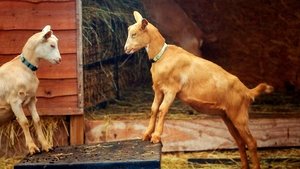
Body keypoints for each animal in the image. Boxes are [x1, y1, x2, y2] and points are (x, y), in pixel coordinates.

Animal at [123, 11, 274, 168]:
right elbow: (154, 109)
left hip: (240, 116)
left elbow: (162, 109)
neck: (162, 56)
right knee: (240, 142)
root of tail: (247, 92)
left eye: (134, 34)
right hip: (228, 116)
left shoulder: (171, 90)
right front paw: (146, 134)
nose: (125, 49)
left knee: (252, 142)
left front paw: (156, 136)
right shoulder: (158, 90)